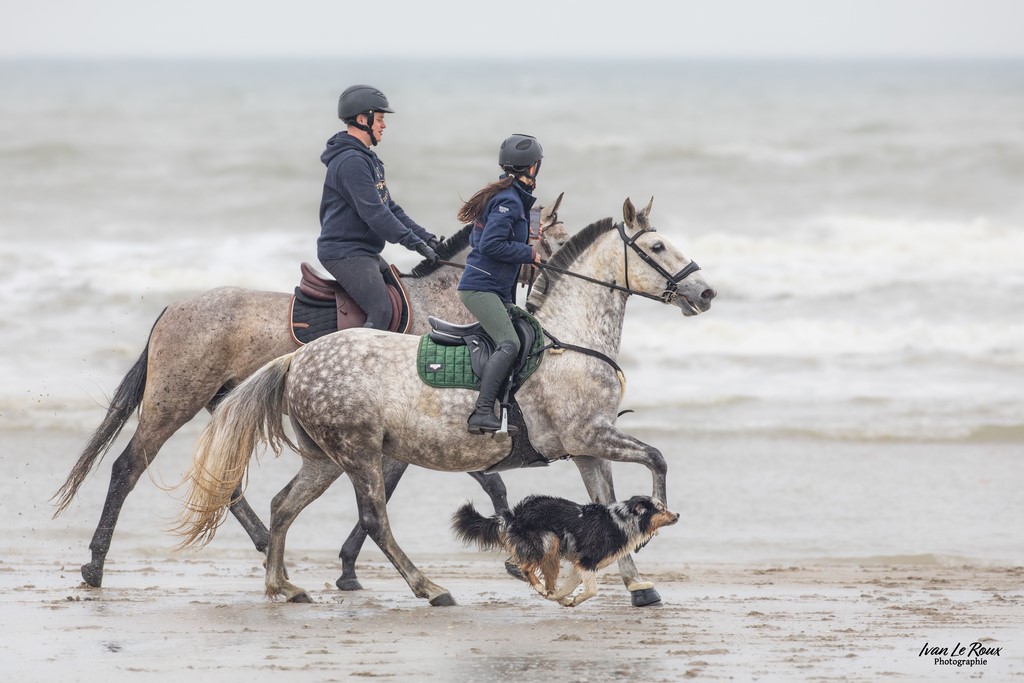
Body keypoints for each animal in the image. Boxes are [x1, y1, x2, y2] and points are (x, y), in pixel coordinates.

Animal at [49, 205, 569, 589]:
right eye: (552, 239)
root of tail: (174, 307)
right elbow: (404, 492)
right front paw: (349, 568)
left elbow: (490, 483)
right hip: (172, 402)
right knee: (127, 467)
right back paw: (95, 565)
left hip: (223, 403)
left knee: (226, 480)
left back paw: (266, 546)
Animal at [176, 198, 716, 610]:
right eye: (657, 247)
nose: (705, 291)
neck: (572, 341)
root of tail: (298, 357)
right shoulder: (592, 435)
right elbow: (656, 459)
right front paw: (657, 519)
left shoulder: (586, 448)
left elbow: (606, 500)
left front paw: (638, 584)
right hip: (358, 452)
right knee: (374, 519)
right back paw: (430, 588)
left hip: (326, 458)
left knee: (284, 505)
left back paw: (282, 585)